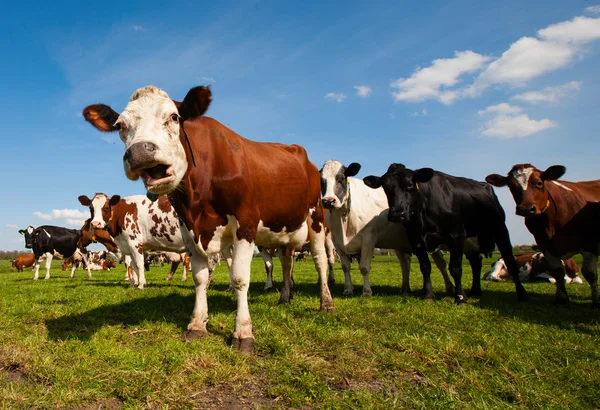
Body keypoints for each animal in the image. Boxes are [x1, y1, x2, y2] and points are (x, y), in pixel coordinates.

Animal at [84, 84, 336, 352]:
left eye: (174, 117)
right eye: (120, 125)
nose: (140, 152)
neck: (200, 193)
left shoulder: (246, 223)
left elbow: (239, 278)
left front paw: (243, 333)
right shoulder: (189, 228)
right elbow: (200, 278)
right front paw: (197, 324)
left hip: (316, 218)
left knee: (320, 260)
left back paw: (326, 303)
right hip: (285, 228)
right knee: (287, 261)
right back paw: (285, 297)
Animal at [322, 160, 458, 298]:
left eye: (341, 178)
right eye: (322, 181)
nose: (328, 201)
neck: (343, 220)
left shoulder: (368, 238)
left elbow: (364, 267)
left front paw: (366, 291)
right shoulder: (337, 242)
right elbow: (345, 267)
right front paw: (348, 289)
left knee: (440, 263)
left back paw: (450, 287)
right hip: (400, 244)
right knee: (405, 263)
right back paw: (405, 288)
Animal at [364, 164, 528, 304]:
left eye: (410, 185)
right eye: (386, 188)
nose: (397, 214)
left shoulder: (456, 235)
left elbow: (455, 268)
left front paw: (460, 298)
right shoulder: (415, 238)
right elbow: (425, 266)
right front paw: (428, 295)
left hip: (500, 229)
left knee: (510, 261)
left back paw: (522, 294)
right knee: (476, 261)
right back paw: (475, 291)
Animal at [486, 163, 600, 304]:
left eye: (539, 183)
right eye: (511, 186)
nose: (526, 209)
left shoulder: (588, 244)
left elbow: (589, 273)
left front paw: (596, 300)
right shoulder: (545, 245)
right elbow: (557, 273)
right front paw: (562, 299)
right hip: (499, 263)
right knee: (492, 276)